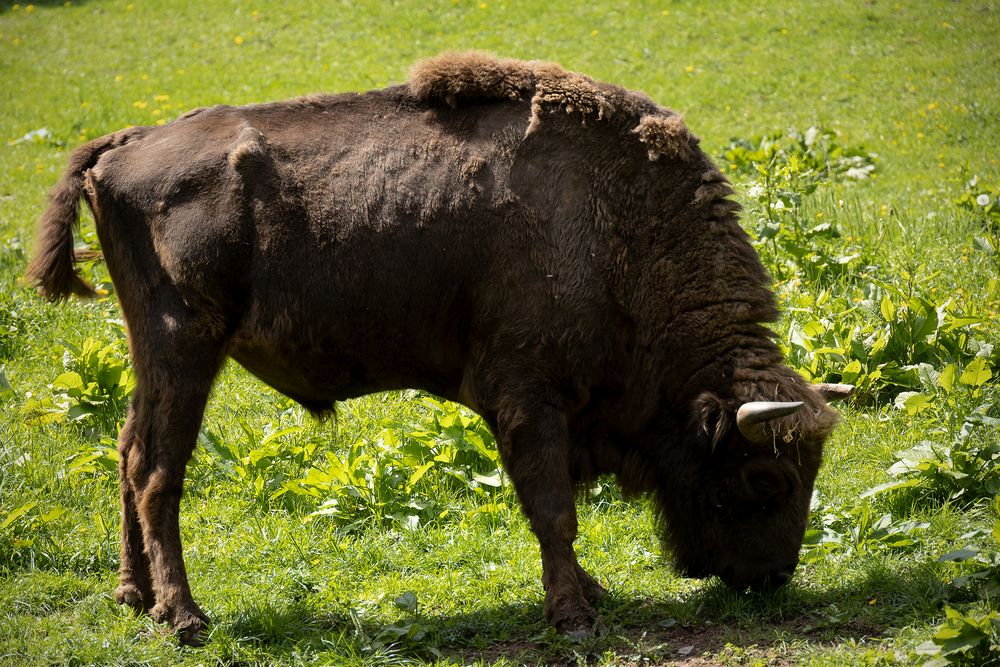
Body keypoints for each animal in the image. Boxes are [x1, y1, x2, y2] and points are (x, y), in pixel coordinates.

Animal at [29, 54, 852, 644]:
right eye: (766, 479)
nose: (773, 576)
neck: (616, 228)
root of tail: (121, 149)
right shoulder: (529, 399)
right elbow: (553, 511)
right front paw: (575, 617)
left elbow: (556, 509)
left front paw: (589, 592)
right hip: (185, 349)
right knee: (156, 471)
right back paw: (185, 616)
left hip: (153, 357)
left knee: (126, 451)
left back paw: (133, 595)